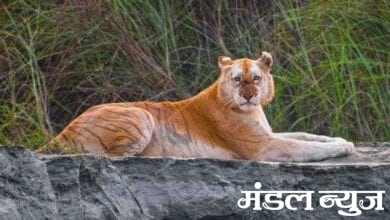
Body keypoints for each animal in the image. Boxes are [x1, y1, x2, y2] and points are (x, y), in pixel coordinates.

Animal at [35, 51, 354, 162]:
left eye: (256, 78)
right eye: (237, 79)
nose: (249, 96)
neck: (251, 110)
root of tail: (64, 130)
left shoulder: (268, 134)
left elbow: (307, 136)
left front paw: (341, 140)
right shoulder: (263, 147)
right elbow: (305, 147)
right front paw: (342, 147)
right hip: (141, 114)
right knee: (112, 156)